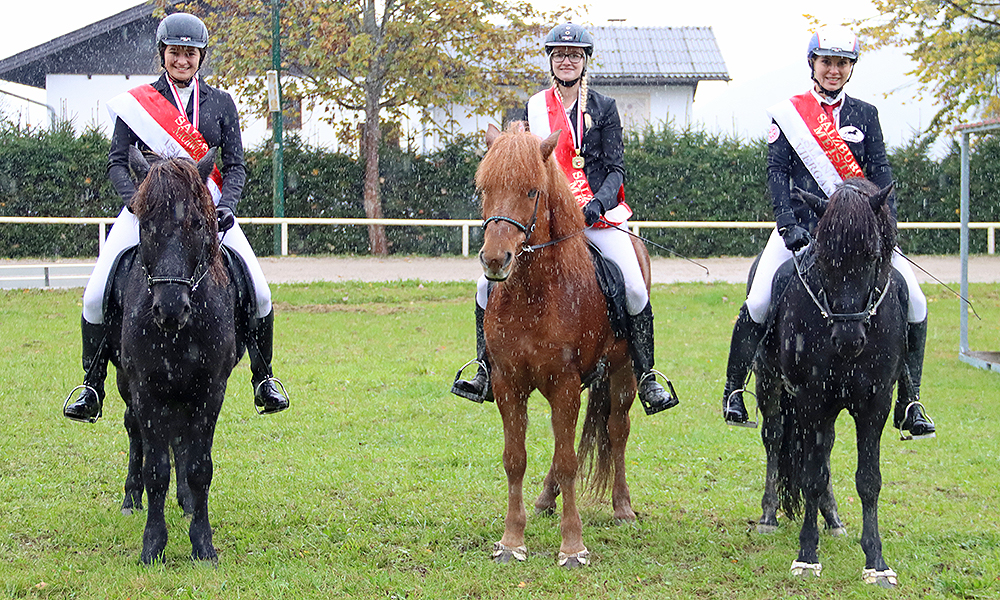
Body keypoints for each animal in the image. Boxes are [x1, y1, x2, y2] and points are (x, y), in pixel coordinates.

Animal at [104, 152, 241, 564]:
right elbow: (156, 469)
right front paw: (153, 545)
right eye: (146, 224)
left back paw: (187, 503)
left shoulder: (211, 390)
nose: (169, 308)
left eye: (196, 222)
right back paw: (131, 498)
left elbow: (198, 467)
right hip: (128, 385)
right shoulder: (147, 390)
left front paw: (203, 543)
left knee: (181, 440)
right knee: (135, 431)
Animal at [476, 123, 648, 568]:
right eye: (485, 188)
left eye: (532, 191)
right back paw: (544, 499)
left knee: (617, 430)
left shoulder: (565, 383)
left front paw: (572, 546)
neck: (533, 294)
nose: (495, 260)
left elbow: (570, 460)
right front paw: (511, 540)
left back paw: (622, 507)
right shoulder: (508, 383)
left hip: (622, 373)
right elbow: (515, 459)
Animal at [756, 177, 908, 584]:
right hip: (771, 386)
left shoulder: (875, 403)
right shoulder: (811, 399)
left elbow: (868, 480)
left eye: (871, 255)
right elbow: (811, 476)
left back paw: (834, 518)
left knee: (823, 452)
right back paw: (769, 515)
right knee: (775, 438)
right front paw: (807, 556)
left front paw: (876, 562)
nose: (848, 338)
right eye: (824, 258)